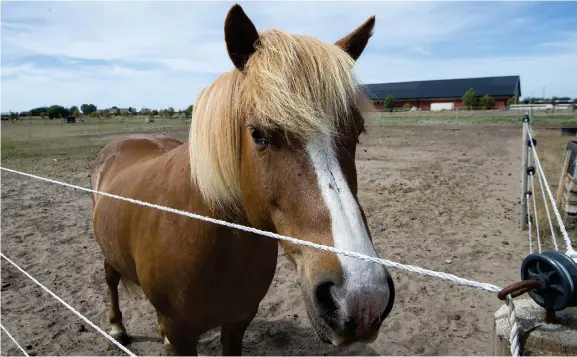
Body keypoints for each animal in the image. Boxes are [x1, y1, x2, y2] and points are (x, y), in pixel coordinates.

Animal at [90, 4, 394, 354]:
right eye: (258, 134)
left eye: (358, 132)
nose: (363, 299)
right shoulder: (181, 333)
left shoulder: (238, 322)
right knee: (110, 279)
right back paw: (117, 327)